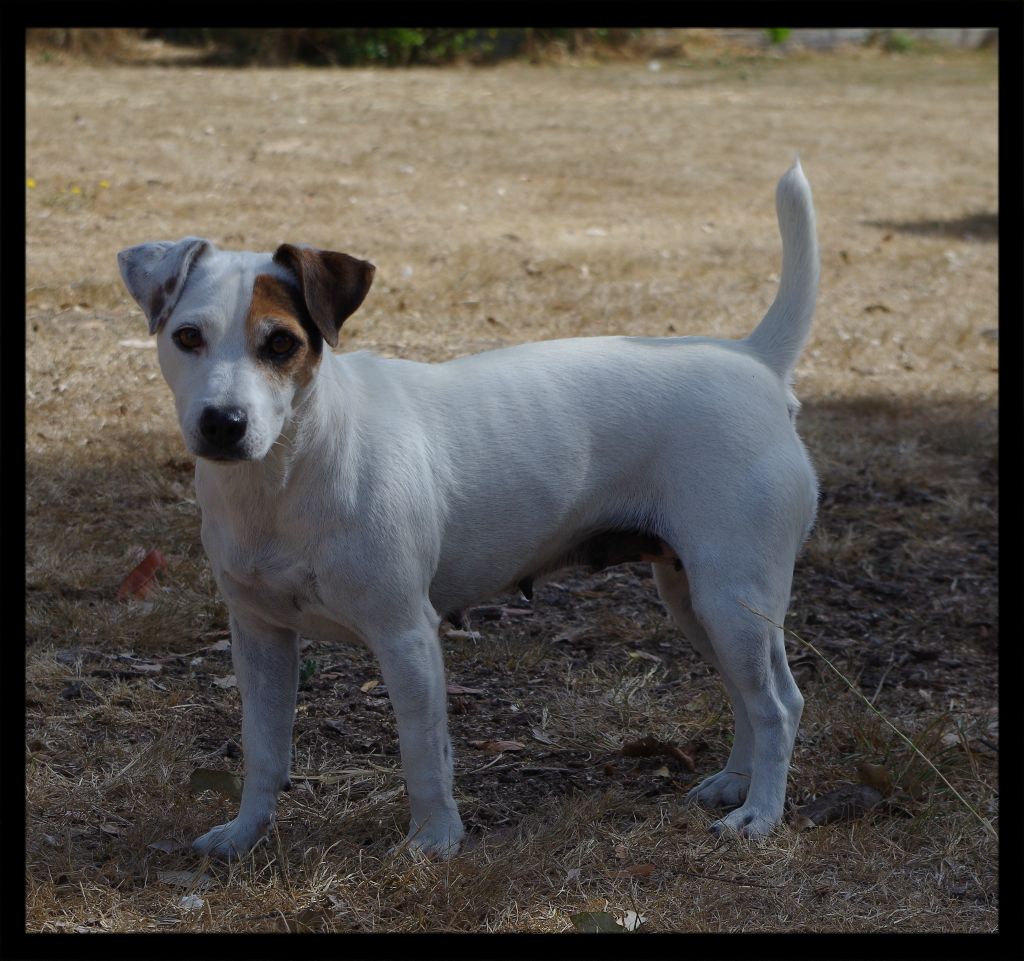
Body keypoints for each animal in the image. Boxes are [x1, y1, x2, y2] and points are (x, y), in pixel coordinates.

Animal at [119, 160, 819, 856]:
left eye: (281, 344)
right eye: (187, 337)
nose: (223, 423)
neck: (290, 471)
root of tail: (752, 358)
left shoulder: (406, 635)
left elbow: (423, 754)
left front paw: (434, 841)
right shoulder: (260, 637)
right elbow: (264, 751)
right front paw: (244, 835)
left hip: (733, 598)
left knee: (778, 705)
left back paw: (760, 814)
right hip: (697, 602)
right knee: (745, 697)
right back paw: (734, 784)